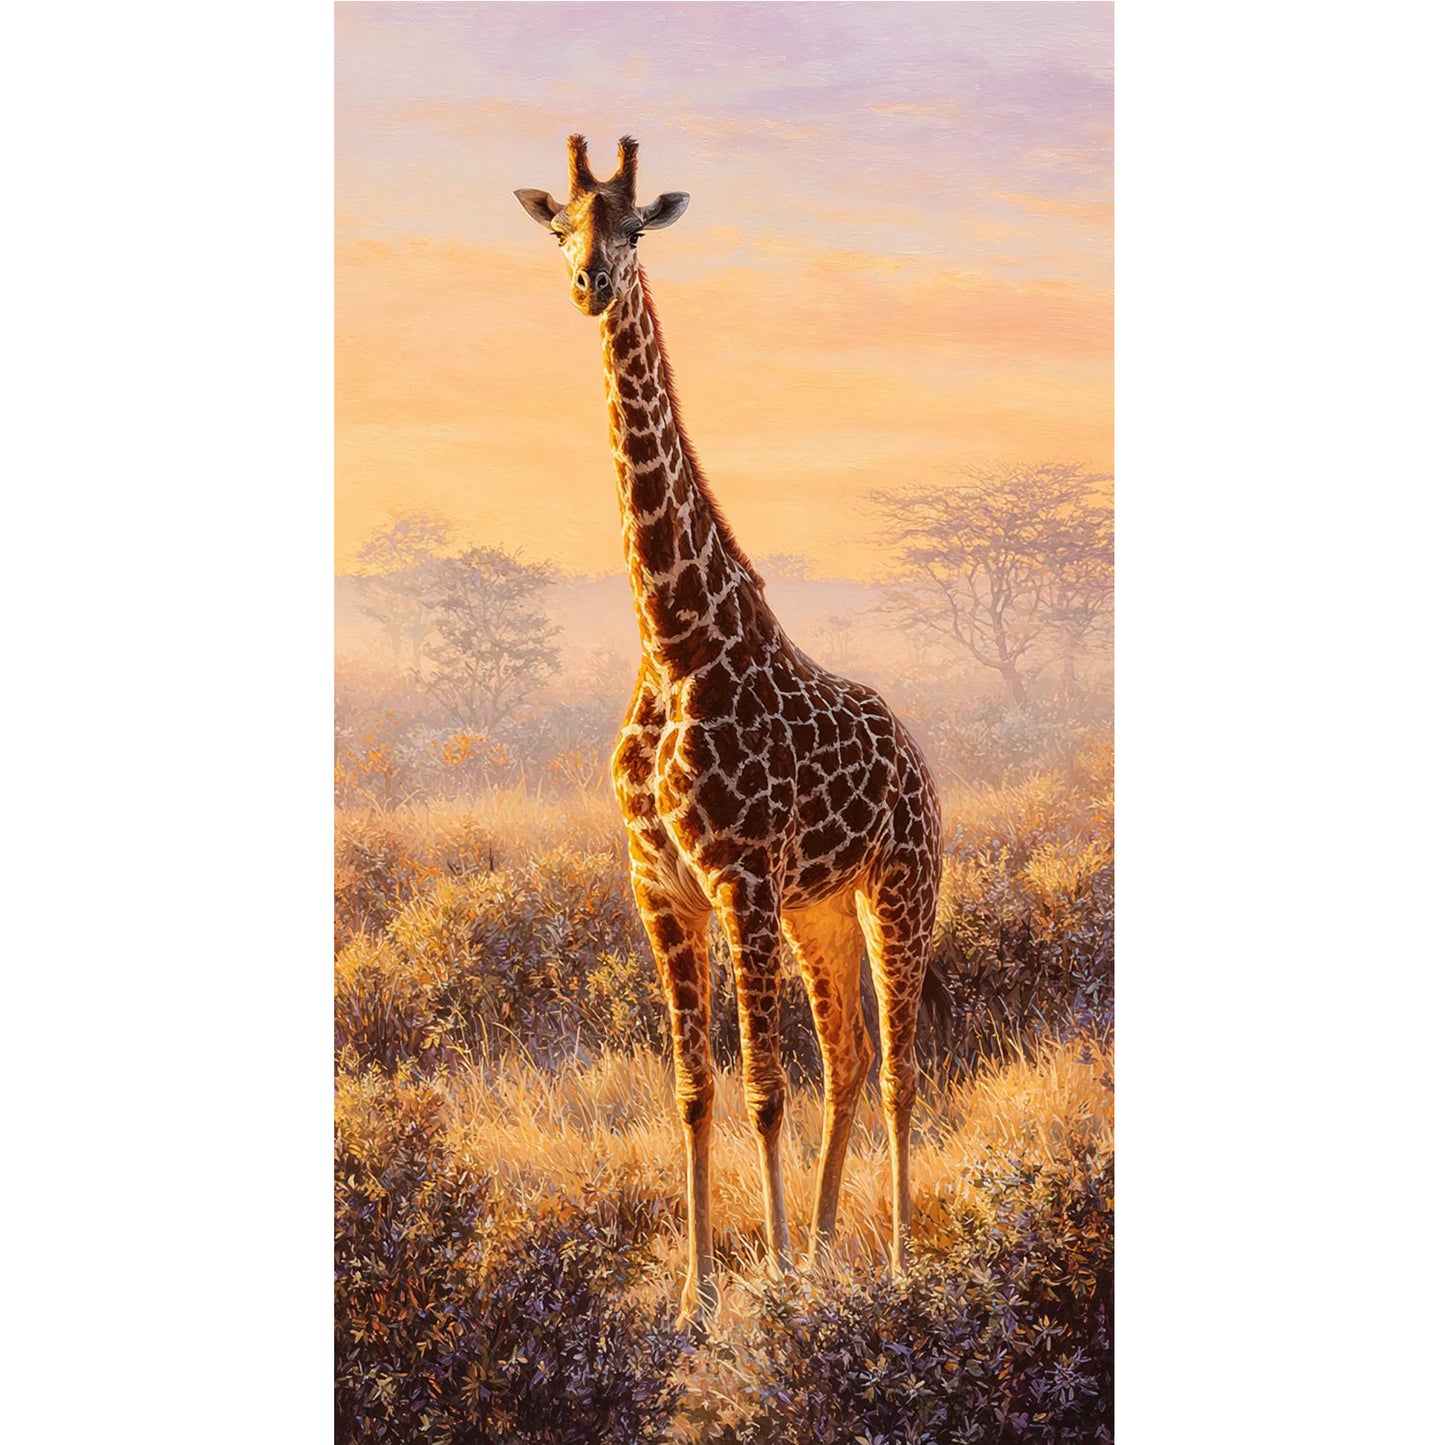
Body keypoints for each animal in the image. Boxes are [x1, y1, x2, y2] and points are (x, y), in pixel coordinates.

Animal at [515, 135, 942, 1326]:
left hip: (900, 884)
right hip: (820, 906)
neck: (672, 640)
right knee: (849, 1053)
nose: (588, 283)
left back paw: (893, 1259)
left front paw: (780, 1281)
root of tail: (919, 756)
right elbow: (693, 1087)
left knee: (897, 1067)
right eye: (560, 225)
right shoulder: (660, 885)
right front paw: (698, 1296)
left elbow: (760, 1088)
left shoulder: (739, 878)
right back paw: (838, 1239)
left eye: (631, 227)